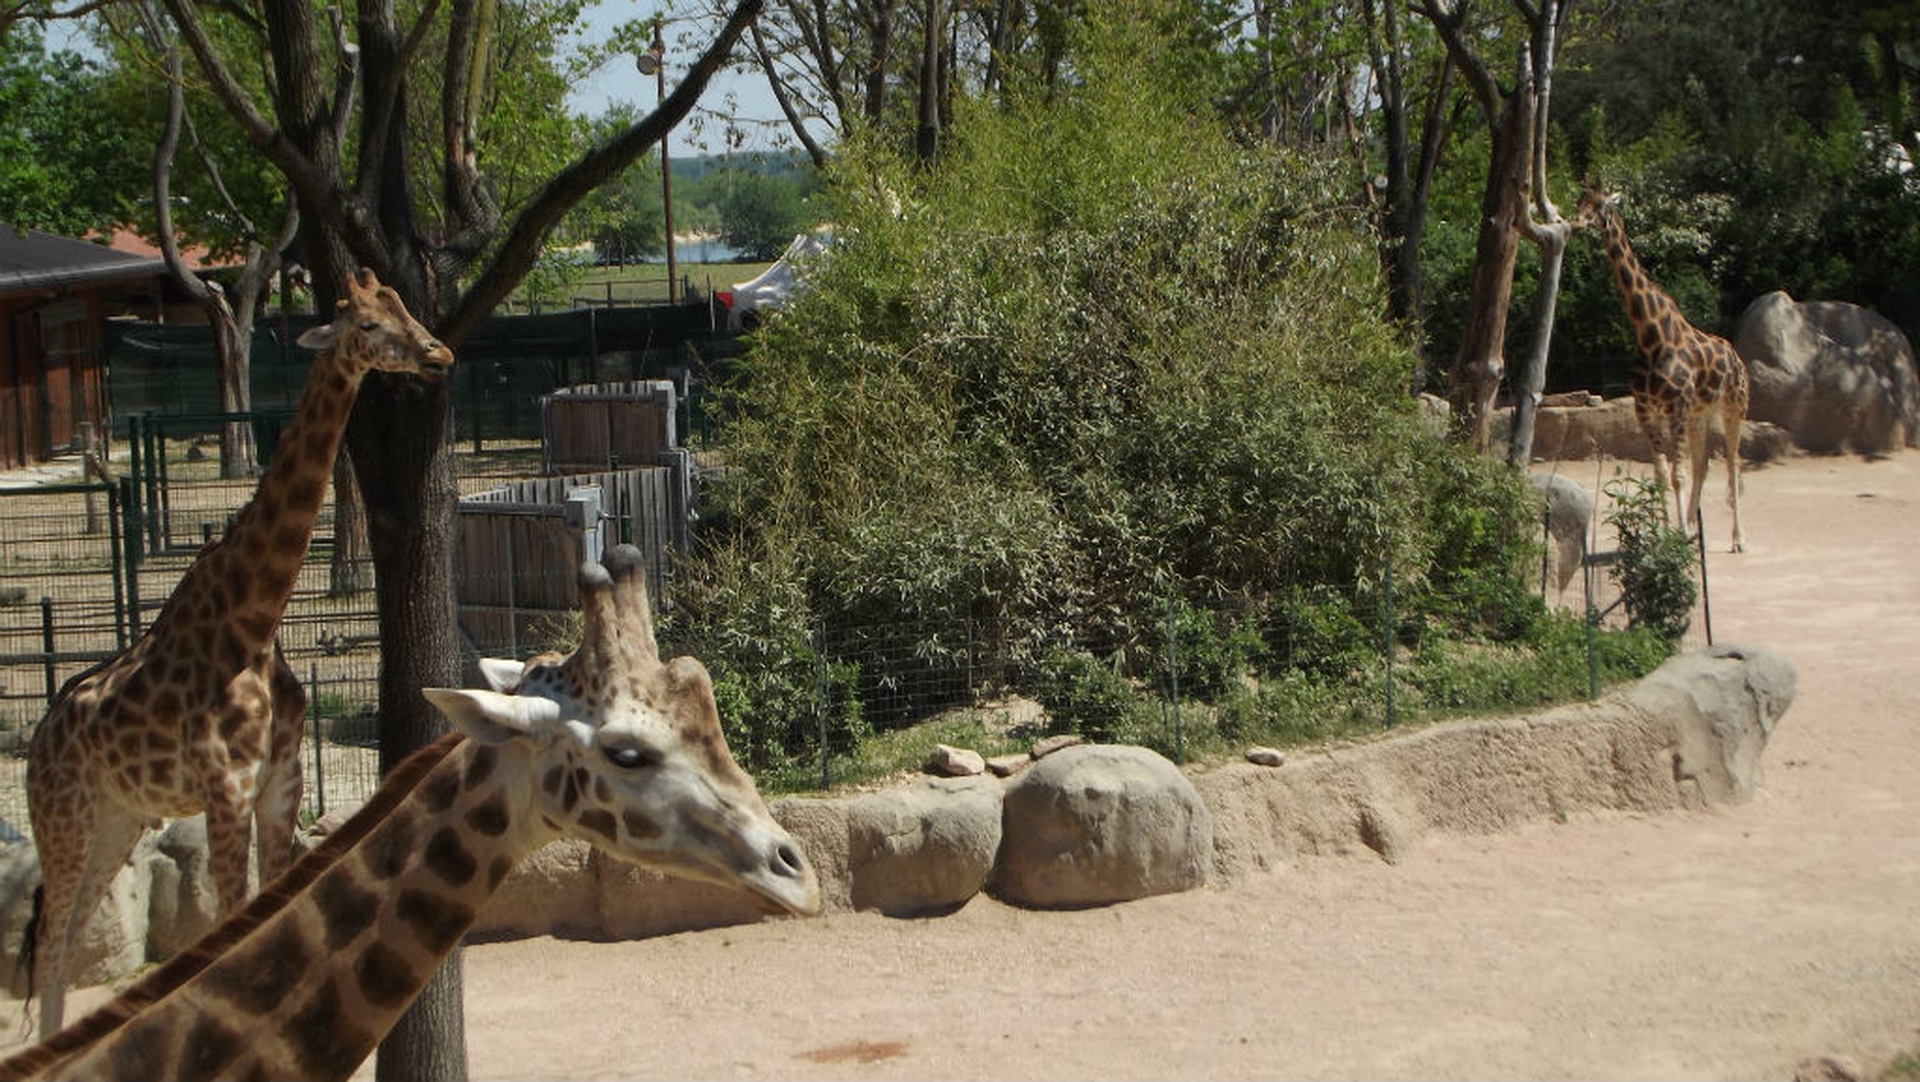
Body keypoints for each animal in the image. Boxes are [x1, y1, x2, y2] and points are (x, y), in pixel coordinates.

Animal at [22, 268, 453, 1036]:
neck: (253, 621)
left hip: (117, 820)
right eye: (367, 325)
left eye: (403, 305)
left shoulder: (281, 785)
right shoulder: (226, 791)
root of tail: (37, 742)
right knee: (48, 941)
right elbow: (228, 926)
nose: (440, 355)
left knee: (68, 939)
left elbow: (270, 919)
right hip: (65, 817)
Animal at [1571, 184, 1749, 552]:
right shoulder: (1646, 409)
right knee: (1702, 465)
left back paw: (1738, 540)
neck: (1649, 334)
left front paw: (1674, 536)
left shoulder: (1675, 406)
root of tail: (1737, 358)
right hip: (1700, 414)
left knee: (1733, 464)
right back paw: (1694, 531)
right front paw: (1665, 536)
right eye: (1580, 202)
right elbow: (1661, 474)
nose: (1576, 222)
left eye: (1600, 206)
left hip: (1733, 408)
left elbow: (1676, 475)